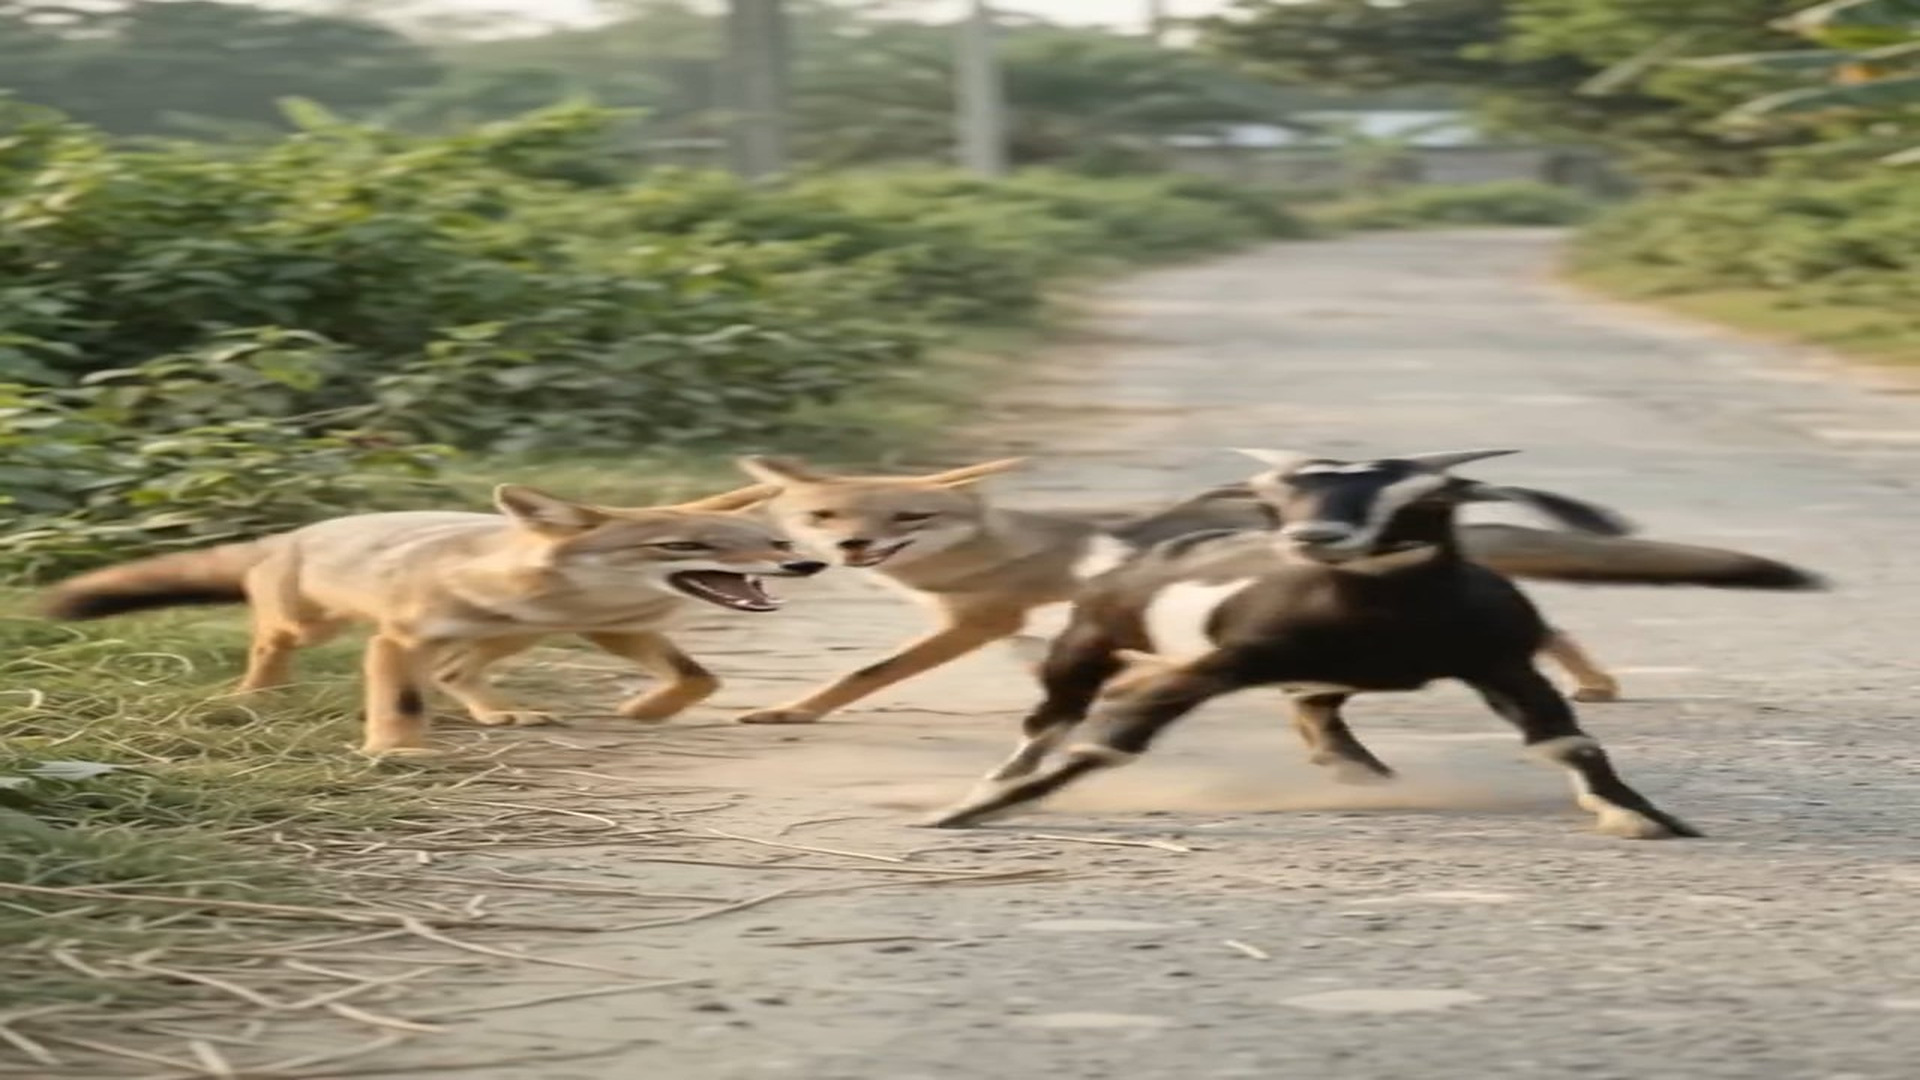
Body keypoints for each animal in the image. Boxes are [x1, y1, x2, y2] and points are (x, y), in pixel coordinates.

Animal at [39, 483, 828, 755]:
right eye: (686, 546)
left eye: (771, 543)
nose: (806, 566)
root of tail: (291, 532)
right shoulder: (397, 640)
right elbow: (403, 700)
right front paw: (398, 750)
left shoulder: (613, 627)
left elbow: (697, 678)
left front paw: (644, 711)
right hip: (310, 627)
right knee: (271, 645)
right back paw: (256, 696)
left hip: (512, 640)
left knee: (458, 672)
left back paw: (500, 711)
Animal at [924, 448, 1702, 840]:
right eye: (1276, 498)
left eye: (1422, 497)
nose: (1316, 535)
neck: (1384, 616)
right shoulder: (1228, 660)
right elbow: (1116, 739)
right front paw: (968, 813)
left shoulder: (1500, 661)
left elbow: (1566, 739)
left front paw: (1641, 814)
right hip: (1089, 641)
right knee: (1051, 718)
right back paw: (998, 783)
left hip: (1317, 675)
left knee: (1314, 710)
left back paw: (1361, 769)